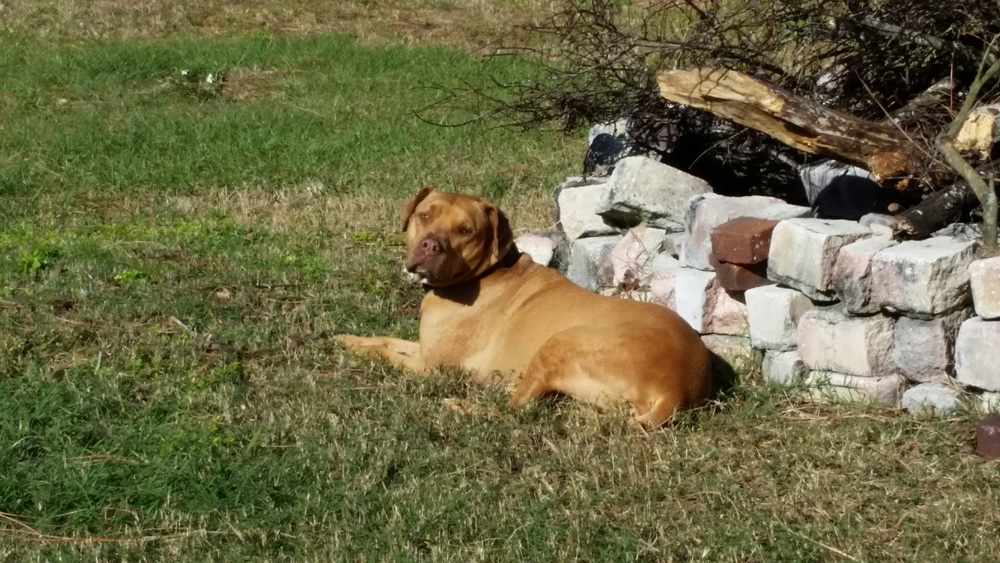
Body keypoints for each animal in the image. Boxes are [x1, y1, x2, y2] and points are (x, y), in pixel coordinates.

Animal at [340, 187, 716, 426]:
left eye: (465, 231)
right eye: (425, 215)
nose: (431, 245)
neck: (483, 273)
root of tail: (676, 387)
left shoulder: (431, 366)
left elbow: (386, 353)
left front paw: (359, 350)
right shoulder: (424, 347)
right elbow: (385, 340)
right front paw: (348, 339)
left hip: (560, 342)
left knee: (516, 410)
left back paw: (463, 406)